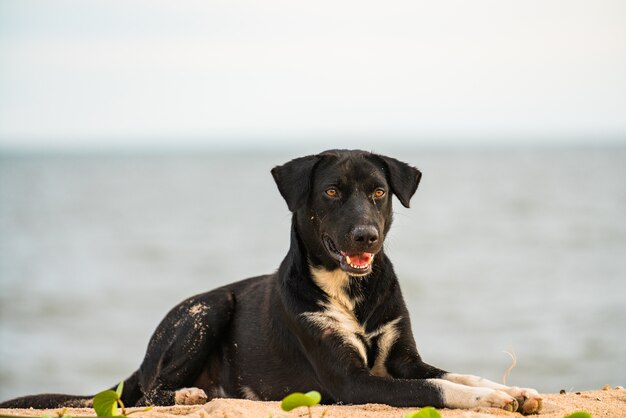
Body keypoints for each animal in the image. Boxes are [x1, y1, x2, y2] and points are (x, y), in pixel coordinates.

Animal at [0, 149, 536, 414]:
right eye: (332, 192)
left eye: (380, 192)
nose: (365, 234)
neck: (352, 291)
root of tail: (144, 356)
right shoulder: (351, 381)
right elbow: (438, 389)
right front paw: (491, 400)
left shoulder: (403, 358)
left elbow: (457, 375)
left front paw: (513, 390)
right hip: (208, 310)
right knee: (148, 393)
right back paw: (191, 396)